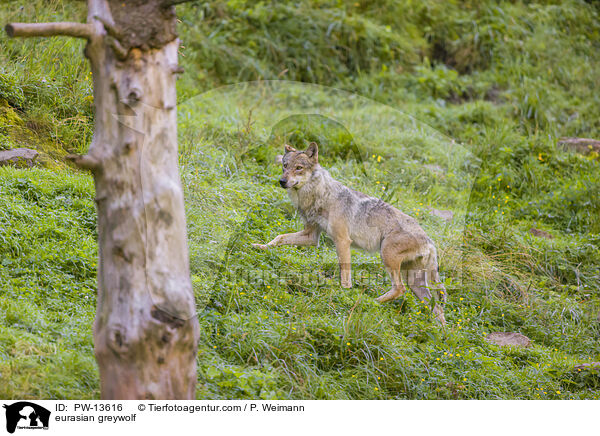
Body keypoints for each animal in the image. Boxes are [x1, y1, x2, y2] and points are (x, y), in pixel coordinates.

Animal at [252, 143, 446, 324]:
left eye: (299, 168)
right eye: (285, 165)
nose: (282, 181)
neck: (321, 196)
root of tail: (430, 241)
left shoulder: (342, 241)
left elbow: (345, 276)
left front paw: (344, 293)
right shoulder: (311, 236)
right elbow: (280, 238)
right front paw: (260, 246)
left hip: (387, 257)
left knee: (400, 289)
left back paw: (371, 302)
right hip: (413, 281)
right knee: (437, 308)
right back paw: (441, 333)